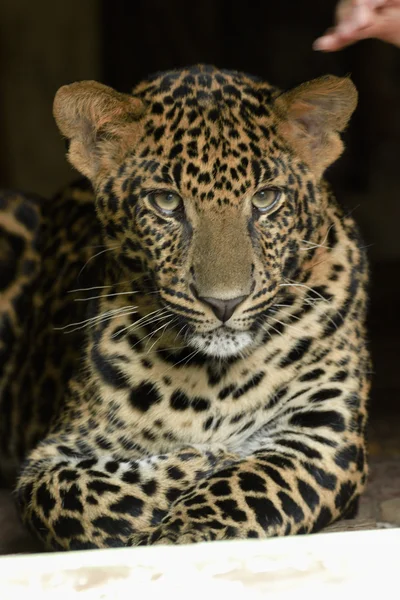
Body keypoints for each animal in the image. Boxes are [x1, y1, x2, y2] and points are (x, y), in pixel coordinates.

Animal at [0, 64, 370, 548]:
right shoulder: (56, 452)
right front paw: (207, 457)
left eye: (265, 199)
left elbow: (250, 485)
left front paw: (180, 531)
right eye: (166, 202)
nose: (224, 303)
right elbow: (76, 497)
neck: (211, 378)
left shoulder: (321, 433)